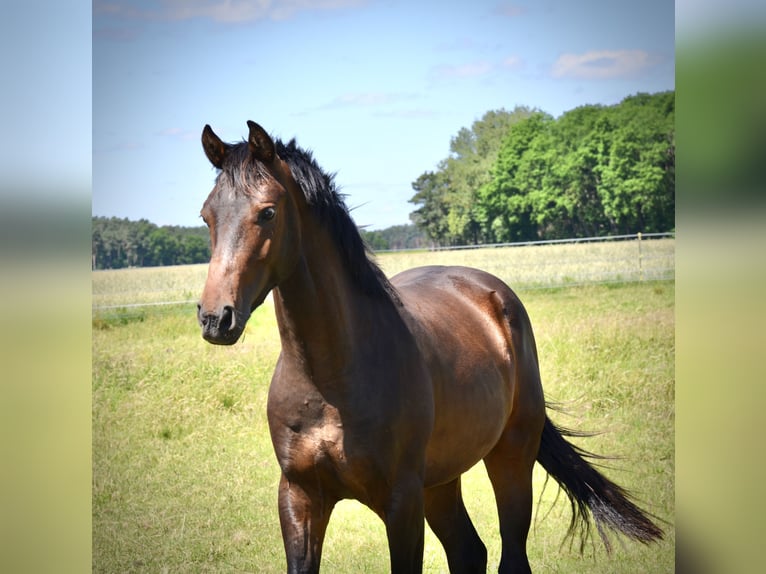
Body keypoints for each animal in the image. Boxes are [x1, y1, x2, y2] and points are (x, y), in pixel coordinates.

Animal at [198, 119, 664, 572]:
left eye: (268, 212)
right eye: (206, 216)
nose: (215, 317)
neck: (330, 380)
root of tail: (492, 293)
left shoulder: (401, 502)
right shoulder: (300, 496)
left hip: (510, 457)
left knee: (511, 556)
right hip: (440, 482)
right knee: (469, 552)